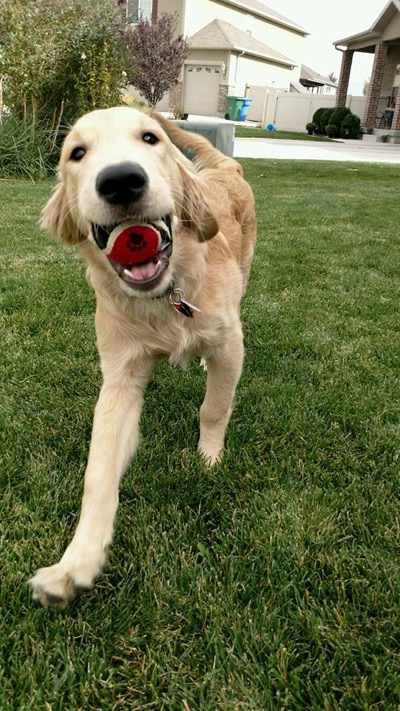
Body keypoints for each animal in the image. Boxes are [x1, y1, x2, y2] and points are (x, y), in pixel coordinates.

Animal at [28, 105, 256, 608]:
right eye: (77, 153)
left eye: (150, 137)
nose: (120, 181)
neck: (165, 297)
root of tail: (225, 168)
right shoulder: (120, 377)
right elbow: (98, 471)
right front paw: (75, 563)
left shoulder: (231, 345)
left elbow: (214, 407)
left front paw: (209, 459)